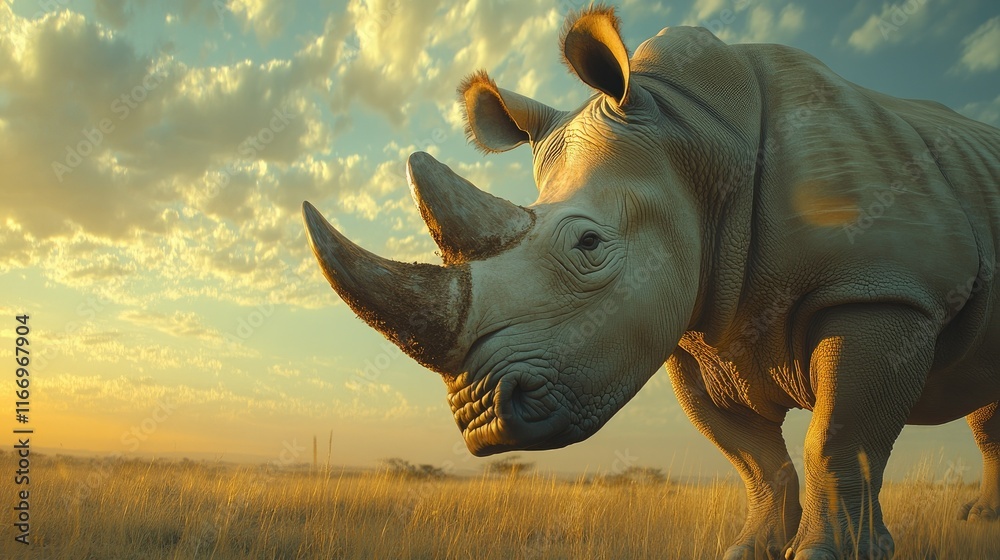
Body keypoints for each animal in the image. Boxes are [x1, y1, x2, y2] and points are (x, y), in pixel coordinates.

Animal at [302, 6, 1000, 560]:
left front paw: (829, 555)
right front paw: (750, 549)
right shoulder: (697, 331)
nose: (481, 418)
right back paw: (981, 523)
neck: (697, 138)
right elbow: (754, 459)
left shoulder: (888, 289)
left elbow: (838, 438)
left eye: (588, 245)